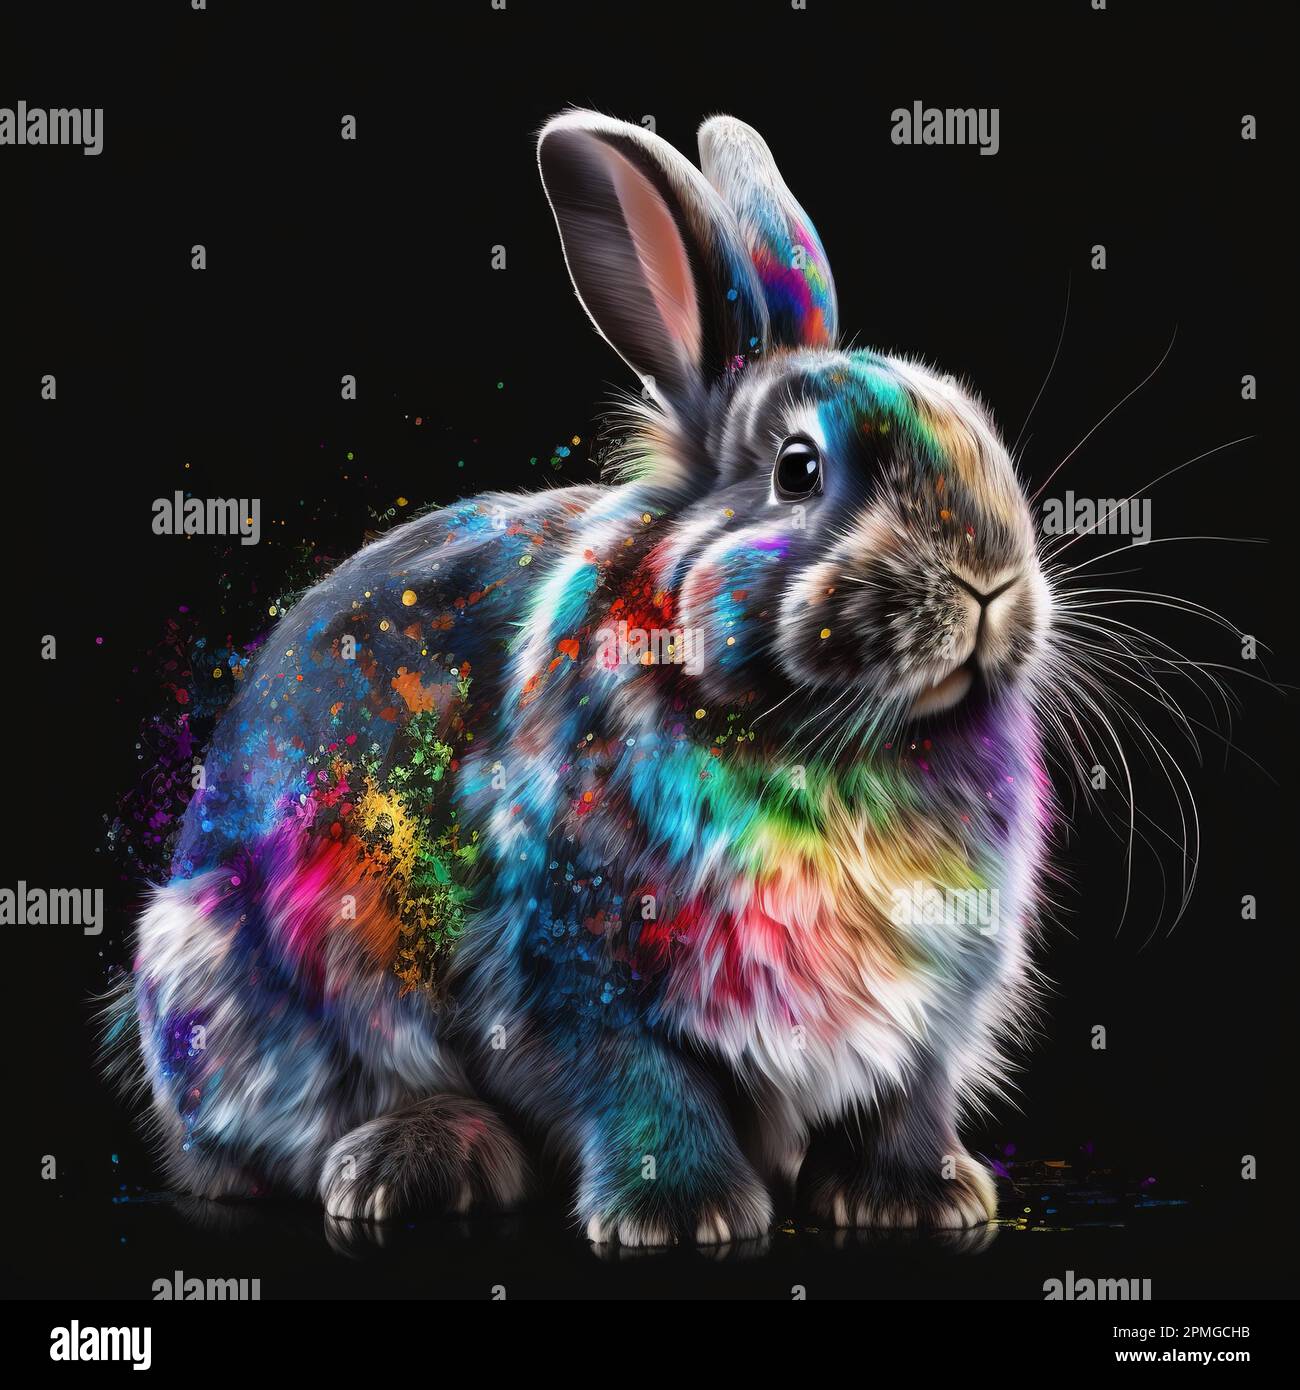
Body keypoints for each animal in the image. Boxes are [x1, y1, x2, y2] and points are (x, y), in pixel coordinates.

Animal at [108, 110, 1054, 1246]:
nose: (992, 580)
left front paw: (921, 1198)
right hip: (240, 973)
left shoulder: (927, 1010)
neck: (828, 740)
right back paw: (412, 1162)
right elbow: (640, 1083)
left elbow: (906, 1097)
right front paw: (680, 1214)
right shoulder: (575, 971)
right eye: (799, 469)